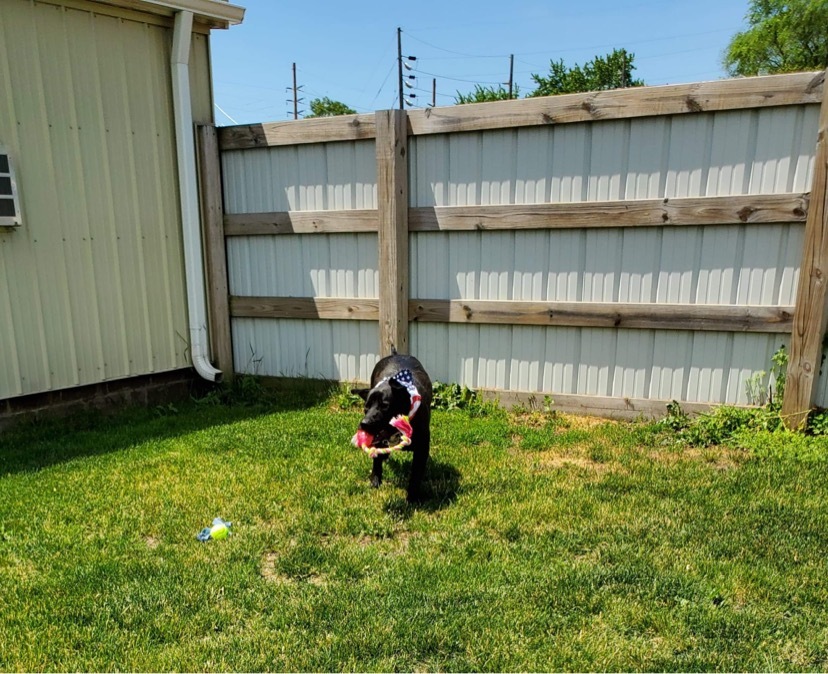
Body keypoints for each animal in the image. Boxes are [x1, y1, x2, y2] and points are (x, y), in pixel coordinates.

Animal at [352, 352, 436, 498]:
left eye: (385, 406)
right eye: (366, 407)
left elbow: (416, 474)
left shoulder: (422, 449)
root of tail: (396, 353)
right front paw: (375, 481)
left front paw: (412, 497)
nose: (364, 424)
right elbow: (376, 462)